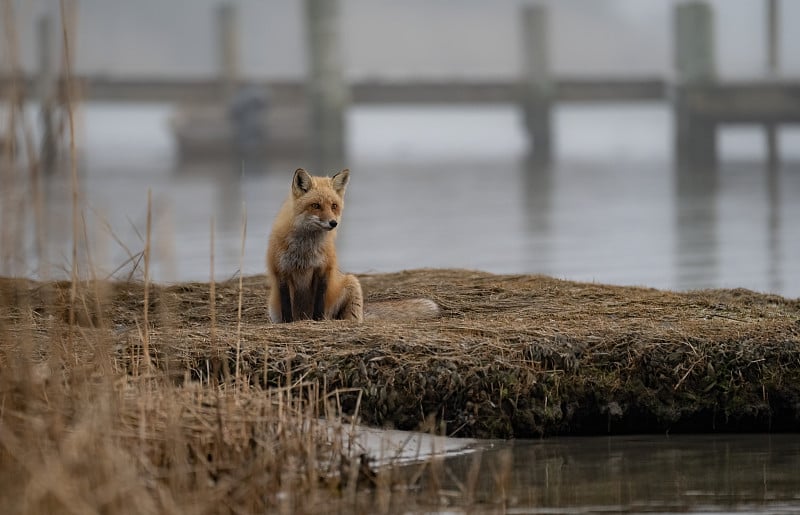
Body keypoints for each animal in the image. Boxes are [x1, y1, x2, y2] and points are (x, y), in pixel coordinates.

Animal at [266, 169, 438, 322]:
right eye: (315, 205)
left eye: (334, 206)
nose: (333, 223)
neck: (304, 250)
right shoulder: (281, 271)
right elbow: (286, 305)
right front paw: (289, 322)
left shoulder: (324, 269)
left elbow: (319, 303)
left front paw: (318, 321)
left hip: (351, 283)